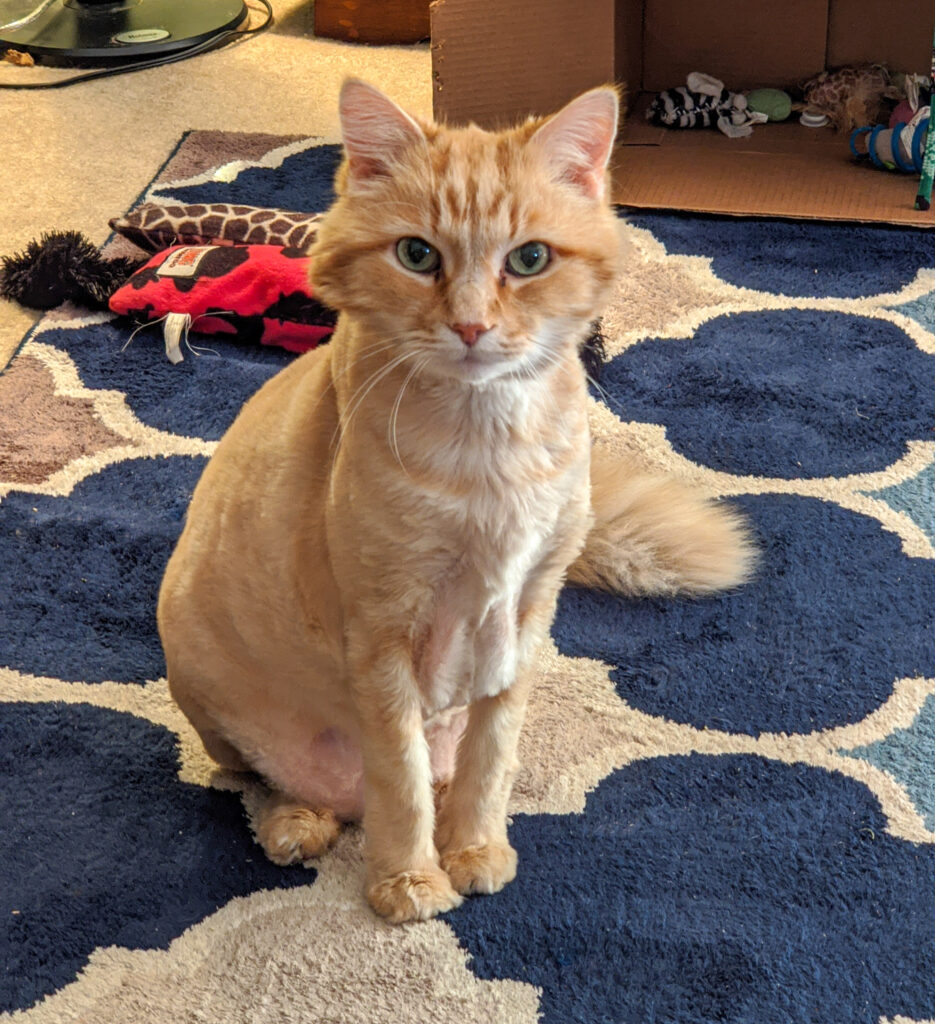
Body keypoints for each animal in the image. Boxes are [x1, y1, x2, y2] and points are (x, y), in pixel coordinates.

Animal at [154, 79, 749, 925]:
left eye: (528, 259)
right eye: (417, 255)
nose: (470, 326)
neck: (486, 454)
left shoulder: (524, 616)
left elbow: (487, 757)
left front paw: (471, 847)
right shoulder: (382, 632)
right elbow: (398, 778)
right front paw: (408, 881)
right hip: (206, 689)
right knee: (260, 781)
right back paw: (298, 820)